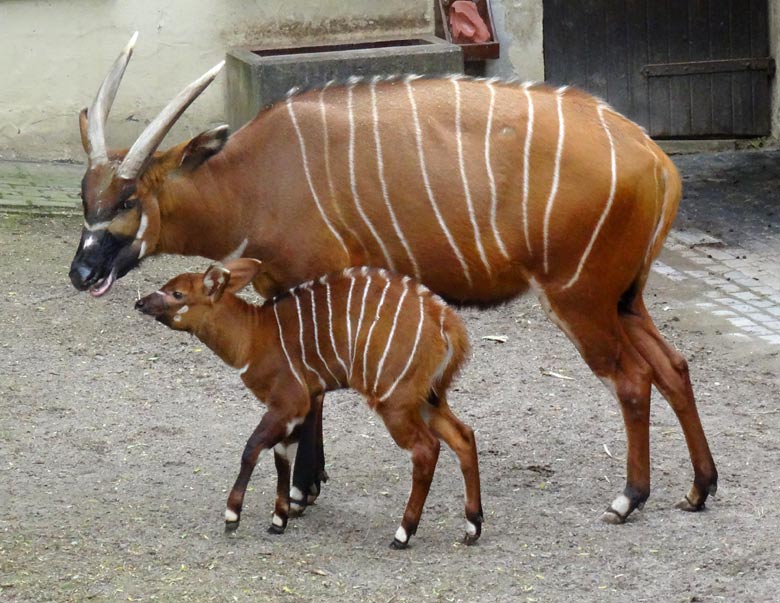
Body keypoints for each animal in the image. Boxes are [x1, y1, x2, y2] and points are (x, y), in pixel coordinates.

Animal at [139, 260, 482, 548]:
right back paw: (472, 526)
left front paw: (232, 516)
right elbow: (281, 456)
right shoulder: (292, 413)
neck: (254, 336)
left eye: (177, 293)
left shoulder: (287, 402)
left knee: (426, 449)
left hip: (394, 401)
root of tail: (448, 325)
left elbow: (252, 448)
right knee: (463, 435)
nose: (139, 303)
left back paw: (403, 533)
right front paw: (278, 520)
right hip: (426, 399)